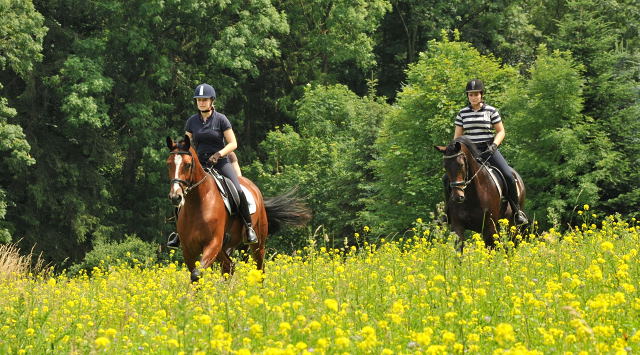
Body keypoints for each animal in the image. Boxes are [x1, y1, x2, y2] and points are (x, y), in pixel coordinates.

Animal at [166, 137, 312, 284]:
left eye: (187, 164)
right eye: (169, 164)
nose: (175, 197)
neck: (198, 203)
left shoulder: (212, 244)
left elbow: (196, 274)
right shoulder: (188, 249)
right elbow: (195, 276)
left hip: (257, 243)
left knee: (260, 268)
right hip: (225, 247)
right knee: (229, 266)